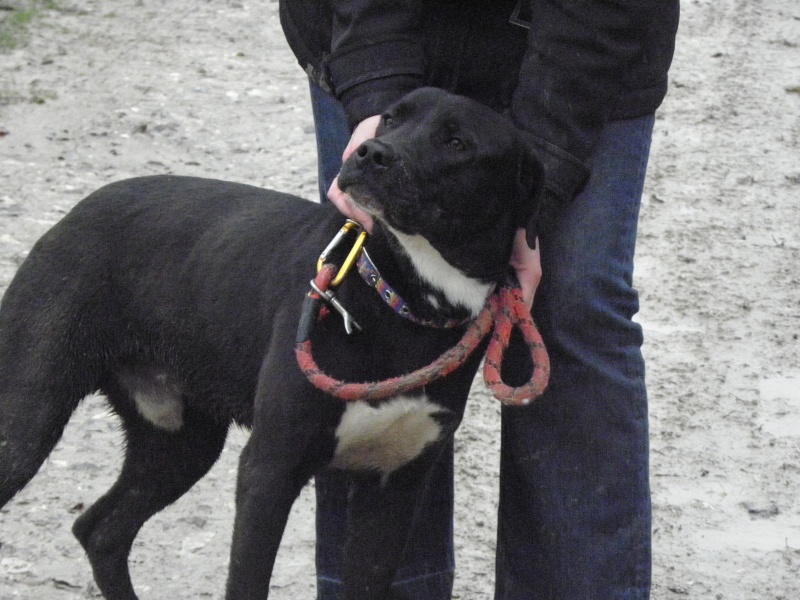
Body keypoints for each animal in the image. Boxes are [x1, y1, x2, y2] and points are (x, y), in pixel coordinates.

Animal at [0, 86, 544, 596]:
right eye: (391, 117)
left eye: (457, 142)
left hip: (180, 445)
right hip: (26, 422)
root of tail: (76, 211)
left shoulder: (395, 484)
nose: (370, 152)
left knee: (101, 530)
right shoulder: (270, 468)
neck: (403, 298)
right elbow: (248, 582)